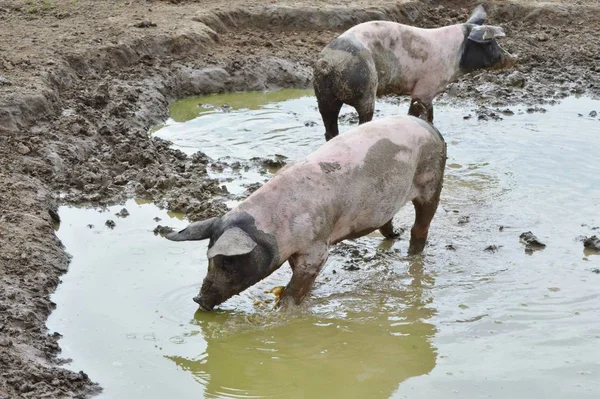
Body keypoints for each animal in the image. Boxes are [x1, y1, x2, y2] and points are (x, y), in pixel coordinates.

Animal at [166, 115, 448, 312]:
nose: (198, 299)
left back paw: (412, 254)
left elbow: (301, 280)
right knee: (387, 224)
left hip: (432, 180)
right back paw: (394, 237)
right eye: (209, 259)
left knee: (422, 225)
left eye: (227, 262)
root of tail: (430, 127)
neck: (274, 229)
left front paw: (283, 309)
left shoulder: (316, 247)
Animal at [314, 4, 516, 141]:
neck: (455, 56)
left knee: (330, 129)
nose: (512, 58)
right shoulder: (425, 87)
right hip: (365, 87)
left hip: (324, 96)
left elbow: (429, 113)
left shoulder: (429, 90)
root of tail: (328, 62)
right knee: (363, 118)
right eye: (490, 43)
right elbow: (418, 112)